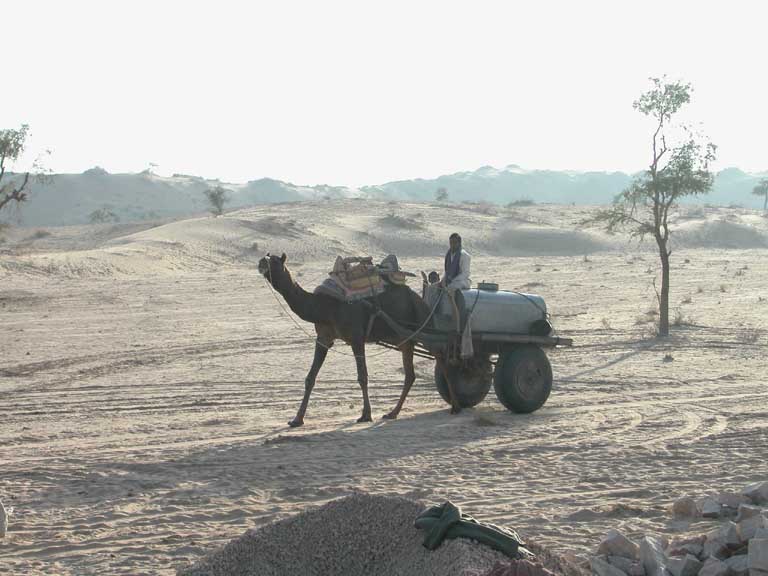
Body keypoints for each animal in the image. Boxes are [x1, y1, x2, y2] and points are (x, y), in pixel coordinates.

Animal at [258, 253, 459, 427]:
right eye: (266, 256)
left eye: (274, 261)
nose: (260, 262)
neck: (324, 306)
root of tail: (420, 299)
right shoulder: (323, 338)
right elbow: (310, 378)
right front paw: (296, 419)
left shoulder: (356, 337)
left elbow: (362, 377)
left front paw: (365, 415)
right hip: (404, 339)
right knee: (410, 374)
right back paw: (393, 413)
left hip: (423, 324)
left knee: (441, 356)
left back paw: (455, 406)